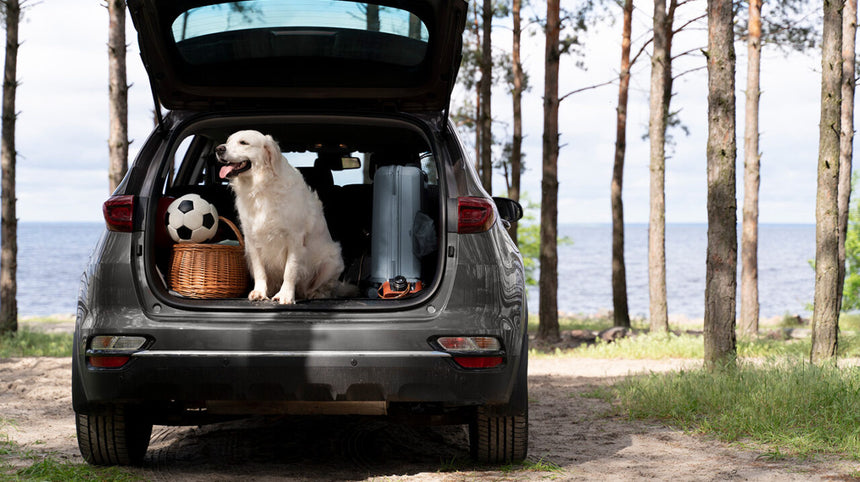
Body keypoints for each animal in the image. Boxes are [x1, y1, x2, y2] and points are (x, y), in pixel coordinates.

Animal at [215, 130, 346, 304]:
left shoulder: (295, 237)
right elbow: (259, 270)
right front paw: (259, 292)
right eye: (228, 141)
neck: (261, 187)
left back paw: (316, 294)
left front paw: (285, 295)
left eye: (243, 142)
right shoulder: (251, 239)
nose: (219, 149)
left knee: (325, 288)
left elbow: (290, 270)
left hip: (332, 261)